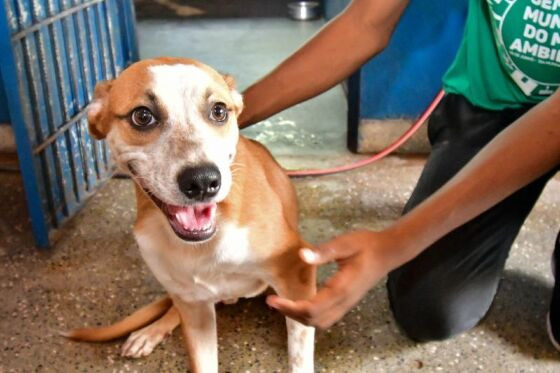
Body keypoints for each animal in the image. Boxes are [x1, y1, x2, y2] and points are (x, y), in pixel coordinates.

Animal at [65, 58, 316, 372]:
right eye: (142, 116)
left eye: (219, 111)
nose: (202, 182)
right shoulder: (195, 309)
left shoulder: (296, 276)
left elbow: (299, 357)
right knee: (175, 306)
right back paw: (150, 331)